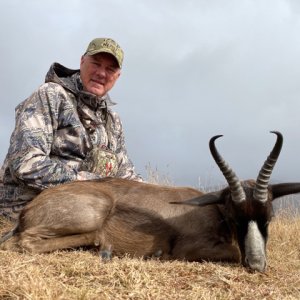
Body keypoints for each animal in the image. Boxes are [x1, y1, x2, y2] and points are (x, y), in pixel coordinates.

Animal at [0, 131, 300, 272]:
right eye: (234, 217)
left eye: (268, 217)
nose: (257, 264)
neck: (212, 210)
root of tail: (28, 211)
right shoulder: (189, 249)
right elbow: (234, 252)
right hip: (93, 214)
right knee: (26, 241)